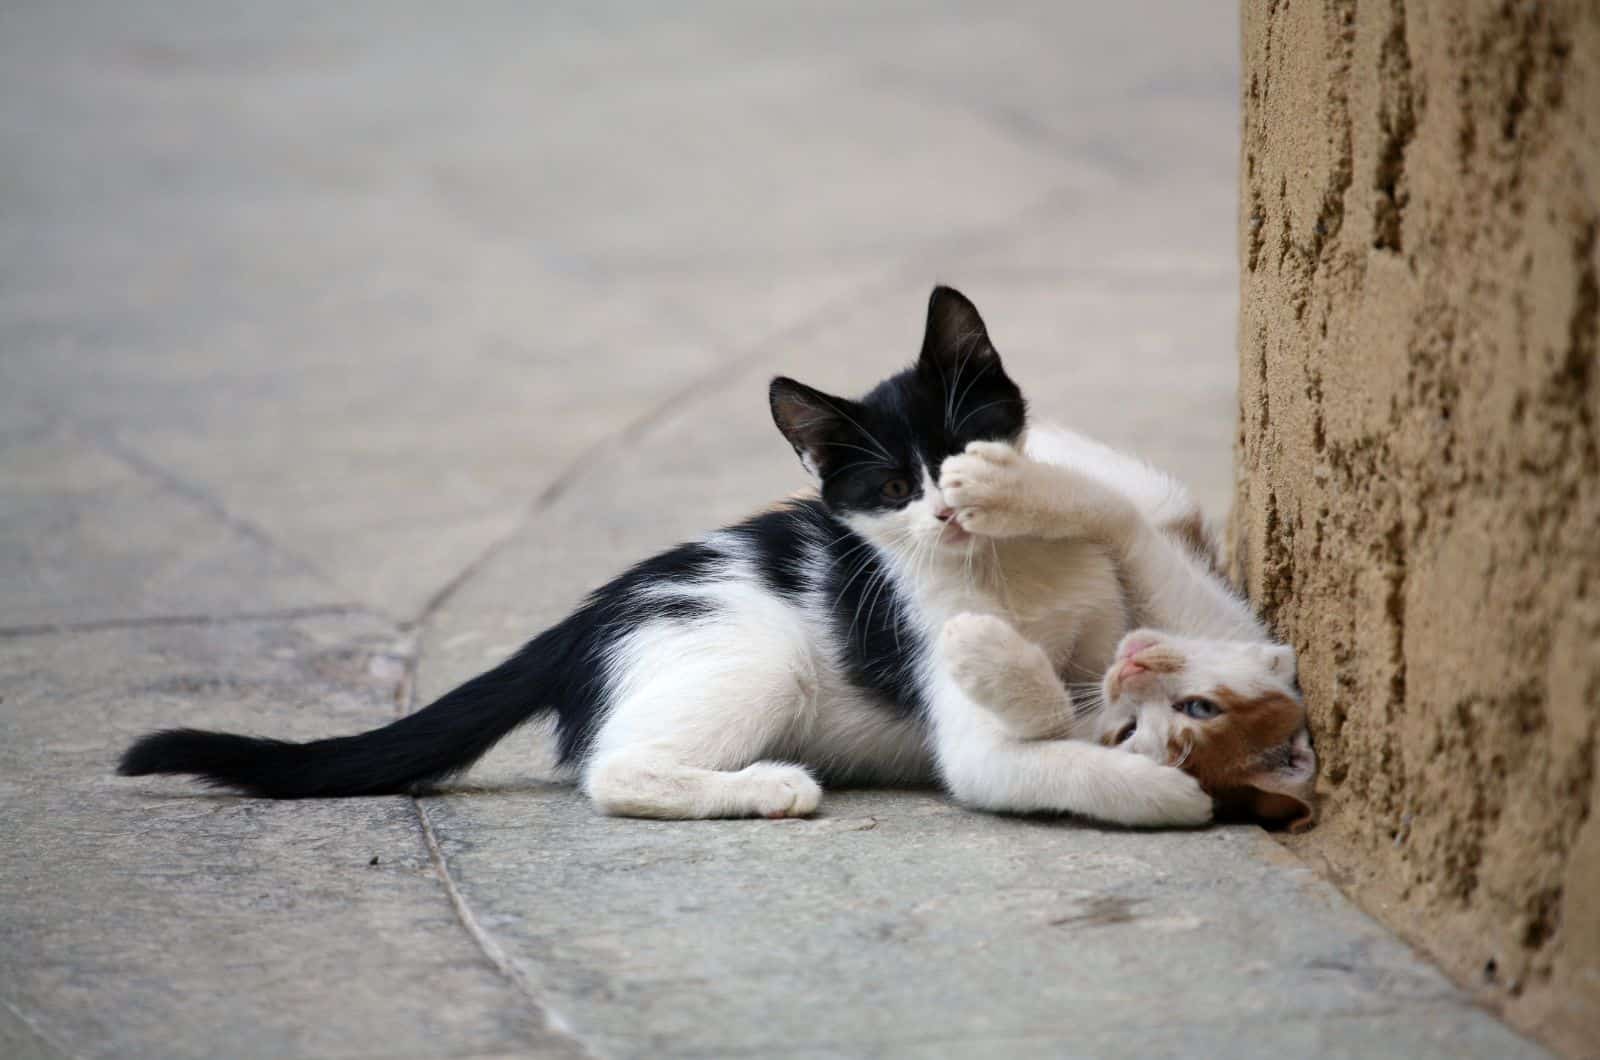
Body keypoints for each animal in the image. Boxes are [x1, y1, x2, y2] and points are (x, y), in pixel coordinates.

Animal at [121, 286, 1312, 832]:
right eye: (891, 488)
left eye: (961, 444)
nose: (948, 510)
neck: (1010, 580)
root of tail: (588, 616)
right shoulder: (975, 727)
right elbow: (1041, 756)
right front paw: (1157, 790)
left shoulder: (1115, 617)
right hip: (751, 656)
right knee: (612, 771)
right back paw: (768, 786)